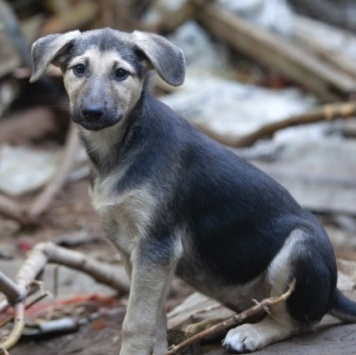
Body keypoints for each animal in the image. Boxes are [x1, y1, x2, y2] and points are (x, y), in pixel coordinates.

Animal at [29, 29, 356, 354]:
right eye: (79, 69)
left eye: (120, 73)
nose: (92, 112)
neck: (122, 145)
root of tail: (333, 292)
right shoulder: (133, 249)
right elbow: (154, 318)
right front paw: (160, 348)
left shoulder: (157, 245)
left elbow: (136, 322)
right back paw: (207, 328)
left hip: (300, 246)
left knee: (298, 322)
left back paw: (249, 333)